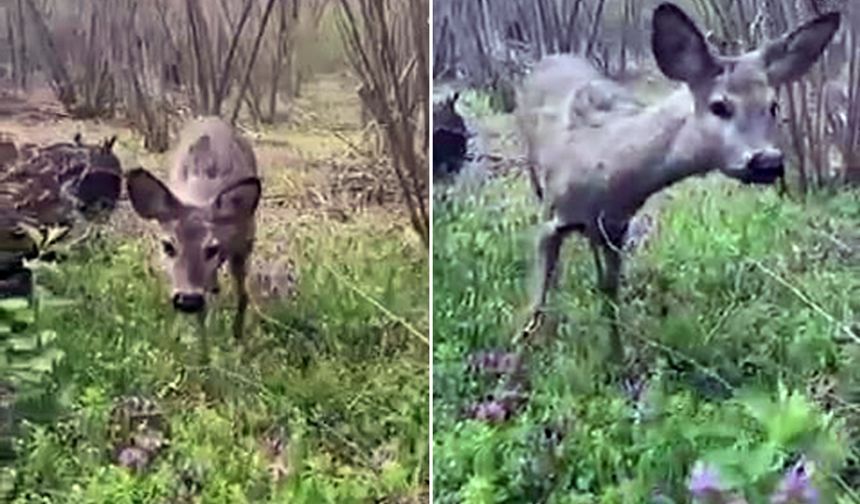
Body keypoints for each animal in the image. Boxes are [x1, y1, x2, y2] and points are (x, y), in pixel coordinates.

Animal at [126, 117, 262, 346]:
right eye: (167, 245)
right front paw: (199, 346)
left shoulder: (244, 242)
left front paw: (237, 339)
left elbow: (242, 295)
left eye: (212, 248)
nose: (188, 300)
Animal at [516, 1, 840, 354]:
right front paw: (524, 350)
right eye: (719, 105)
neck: (607, 166)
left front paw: (616, 357)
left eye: (773, 105)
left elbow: (609, 293)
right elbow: (536, 300)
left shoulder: (617, 228)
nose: (768, 161)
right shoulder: (551, 217)